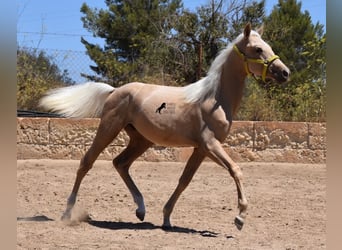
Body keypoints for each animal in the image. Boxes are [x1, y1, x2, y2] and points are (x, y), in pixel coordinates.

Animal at [39, 23, 288, 230]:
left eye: (268, 47)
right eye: (258, 49)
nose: (285, 73)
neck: (213, 98)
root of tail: (114, 90)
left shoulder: (201, 149)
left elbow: (184, 180)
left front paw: (167, 218)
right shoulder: (210, 144)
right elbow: (235, 170)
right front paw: (240, 218)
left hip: (141, 140)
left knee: (120, 163)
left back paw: (141, 210)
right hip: (108, 129)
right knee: (86, 163)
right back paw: (67, 213)